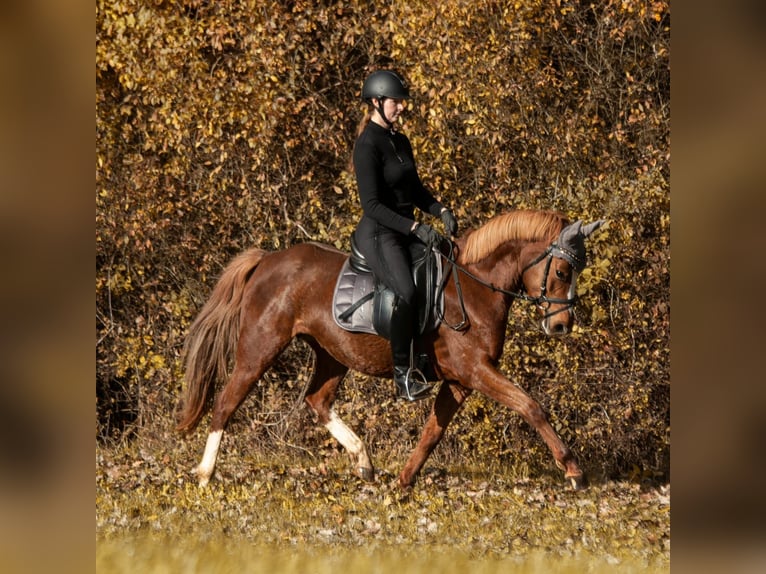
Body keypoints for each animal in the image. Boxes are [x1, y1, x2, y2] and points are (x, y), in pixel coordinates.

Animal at [178, 209, 608, 492]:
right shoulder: (475, 370)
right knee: (227, 402)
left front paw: (403, 480)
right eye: (563, 271)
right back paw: (205, 474)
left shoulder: (460, 380)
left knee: (317, 401)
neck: (474, 285)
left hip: (332, 353)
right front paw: (573, 471)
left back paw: (363, 461)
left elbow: (433, 432)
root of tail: (268, 260)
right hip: (261, 345)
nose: (561, 326)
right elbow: (530, 406)